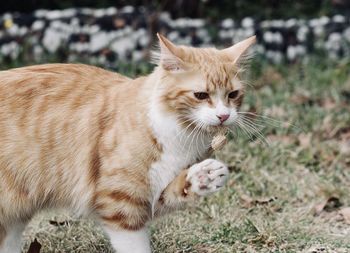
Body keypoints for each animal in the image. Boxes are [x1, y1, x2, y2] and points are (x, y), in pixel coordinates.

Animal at [0, 34, 256, 253]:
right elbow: (135, 245)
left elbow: (176, 189)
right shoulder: (120, 203)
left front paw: (204, 176)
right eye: (201, 95)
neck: (179, 138)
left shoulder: (150, 195)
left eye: (232, 95)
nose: (223, 116)